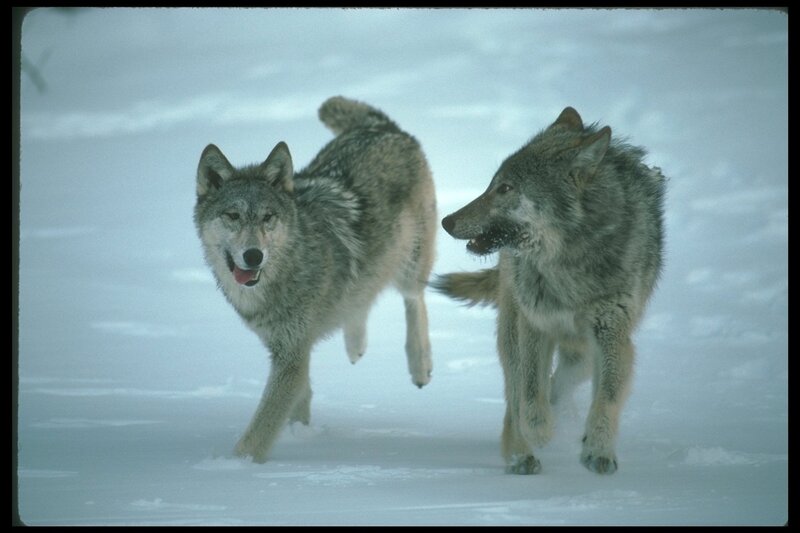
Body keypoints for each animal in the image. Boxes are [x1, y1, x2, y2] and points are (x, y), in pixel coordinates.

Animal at [194, 96, 437, 463]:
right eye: (233, 216)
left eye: (268, 217)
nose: (253, 256)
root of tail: (382, 127)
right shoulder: (289, 349)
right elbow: (300, 399)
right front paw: (301, 435)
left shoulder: (292, 355)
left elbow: (257, 434)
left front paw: (236, 467)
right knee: (361, 301)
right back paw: (355, 346)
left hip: (409, 265)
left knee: (415, 299)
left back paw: (419, 364)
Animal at [434, 107, 665, 475]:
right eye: (491, 184)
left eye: (506, 188)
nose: (446, 221)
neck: (569, 262)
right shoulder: (535, 324)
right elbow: (529, 390)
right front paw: (539, 430)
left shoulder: (612, 332)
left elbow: (607, 396)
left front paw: (598, 449)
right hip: (513, 327)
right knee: (515, 392)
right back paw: (521, 453)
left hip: (585, 351)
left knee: (564, 379)